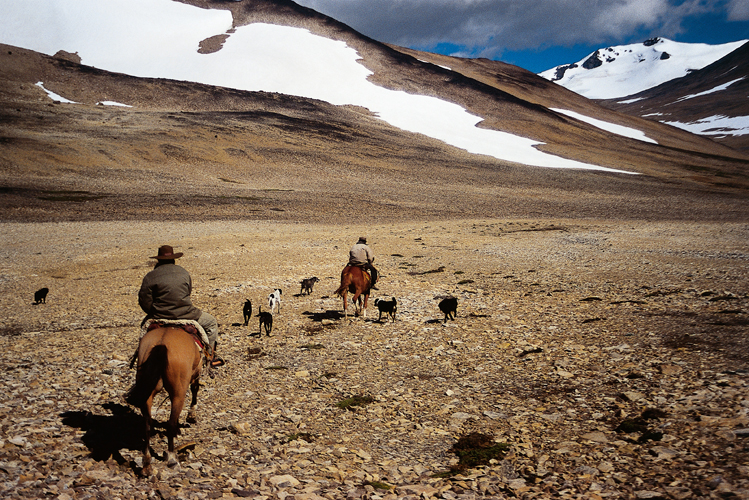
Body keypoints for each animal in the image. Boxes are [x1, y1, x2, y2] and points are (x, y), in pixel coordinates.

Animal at [125, 326, 203, 474]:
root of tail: (161, 343)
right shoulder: (195, 374)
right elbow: (195, 390)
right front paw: (191, 416)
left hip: (147, 391)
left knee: (147, 424)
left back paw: (147, 463)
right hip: (178, 392)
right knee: (170, 423)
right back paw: (172, 458)